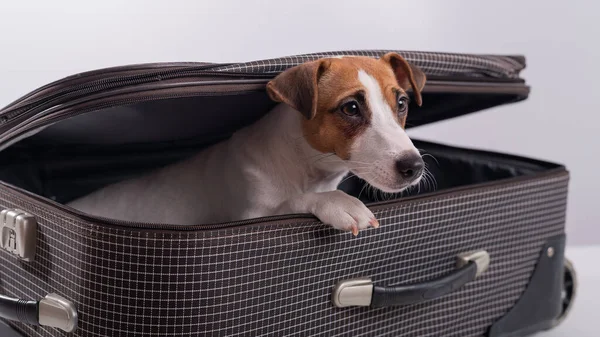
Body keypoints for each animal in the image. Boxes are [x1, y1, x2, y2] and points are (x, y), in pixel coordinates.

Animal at [68, 53, 426, 236]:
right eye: (350, 108)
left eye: (402, 103)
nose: (414, 166)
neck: (304, 167)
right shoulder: (249, 215)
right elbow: (292, 202)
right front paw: (339, 203)